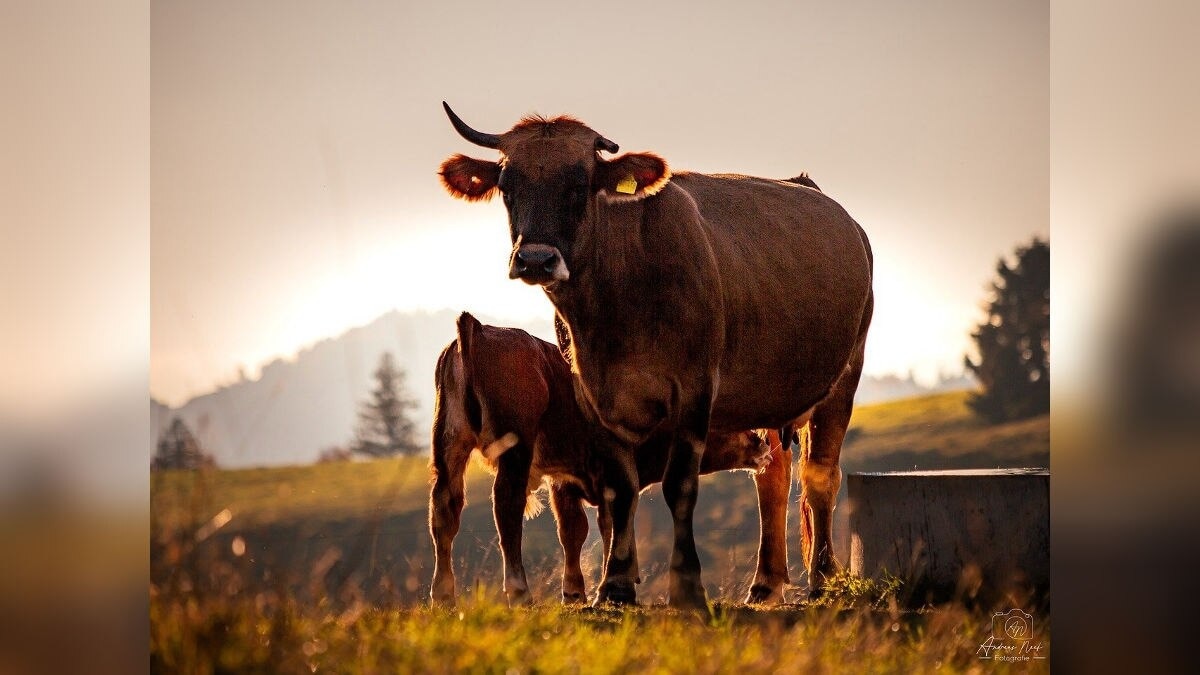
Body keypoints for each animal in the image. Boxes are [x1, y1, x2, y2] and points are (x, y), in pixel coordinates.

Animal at [429, 311, 794, 606]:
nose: (765, 445)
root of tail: (477, 329)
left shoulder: (566, 481)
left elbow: (579, 530)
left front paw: (577, 592)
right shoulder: (604, 477)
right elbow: (612, 522)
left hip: (449, 446)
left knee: (445, 509)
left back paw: (443, 596)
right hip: (514, 451)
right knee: (507, 507)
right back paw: (520, 593)